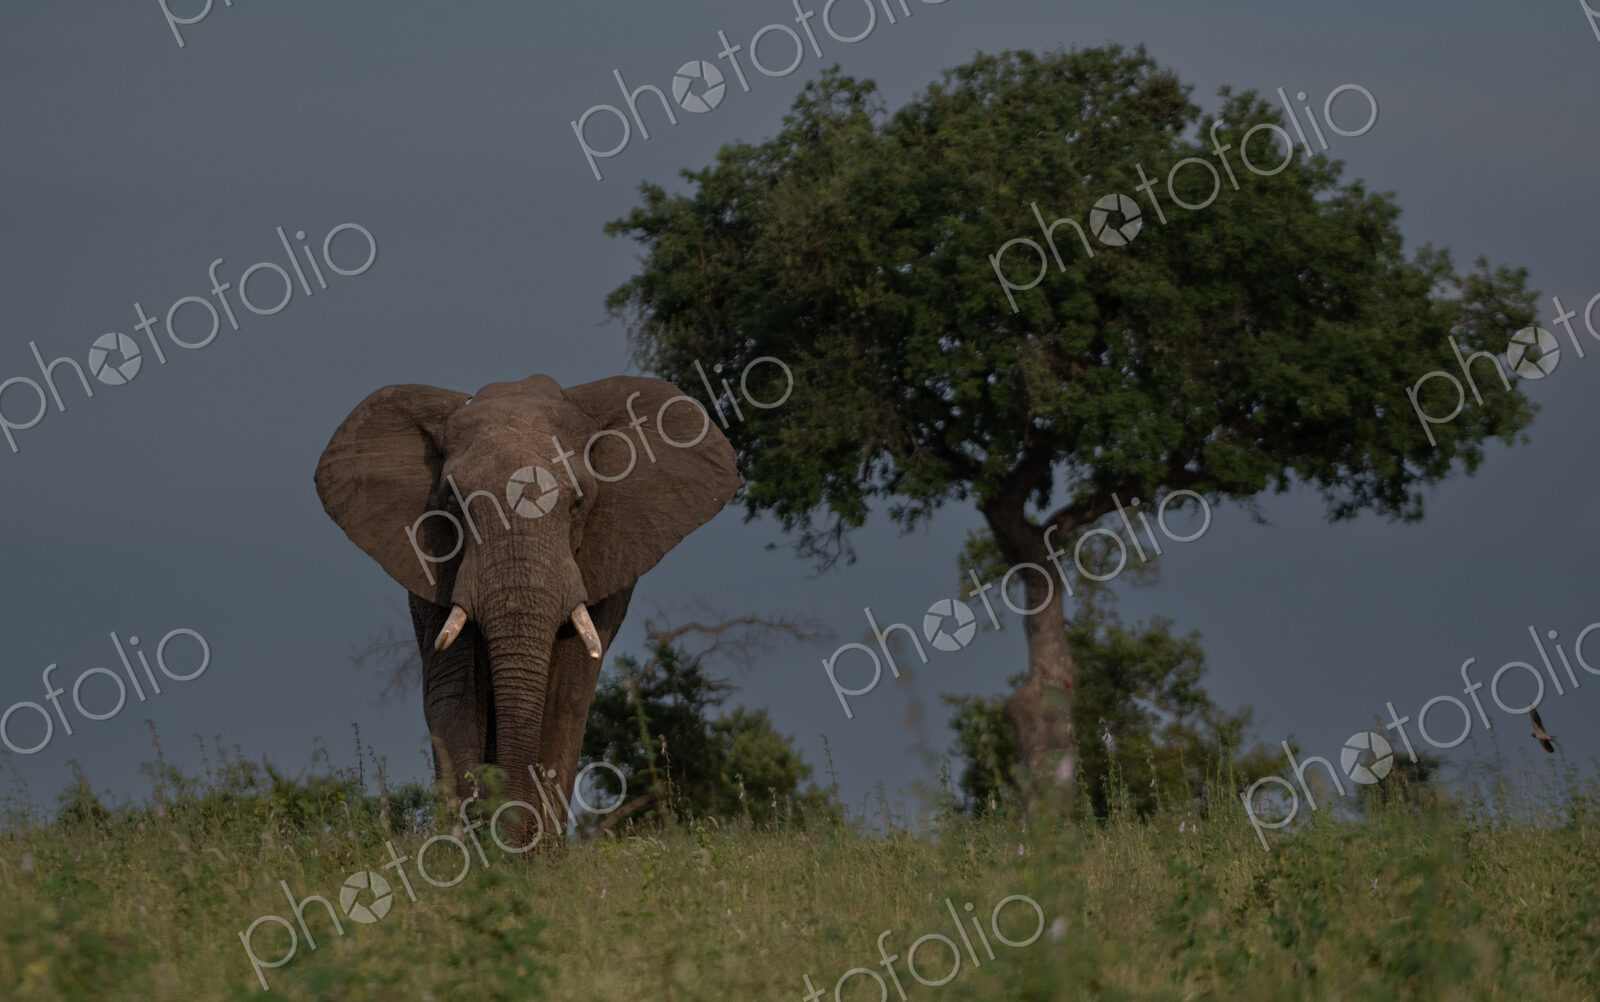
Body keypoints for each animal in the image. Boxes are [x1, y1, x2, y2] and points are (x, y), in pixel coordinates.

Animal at [314, 373, 740, 844]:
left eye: (577, 502)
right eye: (454, 504)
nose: (509, 831)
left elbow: (567, 690)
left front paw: (535, 851)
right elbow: (457, 691)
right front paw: (470, 849)